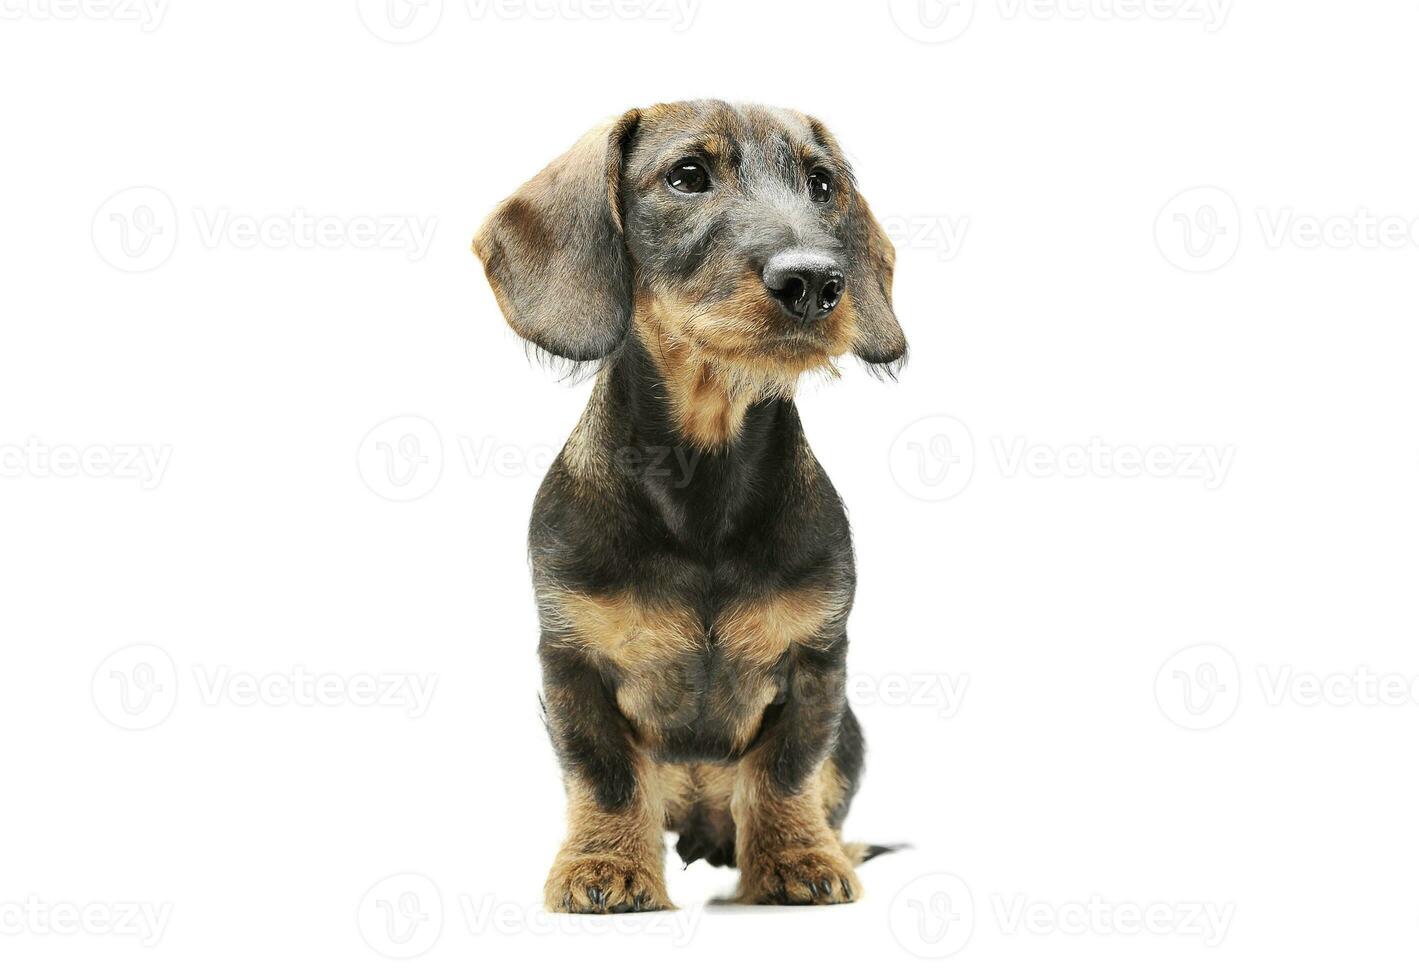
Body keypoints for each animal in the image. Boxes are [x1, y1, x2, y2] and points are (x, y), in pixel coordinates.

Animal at [471, 99, 902, 913]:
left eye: (822, 184)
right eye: (688, 176)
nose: (815, 282)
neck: (703, 479)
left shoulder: (817, 664)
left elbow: (786, 774)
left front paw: (797, 858)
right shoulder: (572, 664)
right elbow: (607, 780)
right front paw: (605, 867)